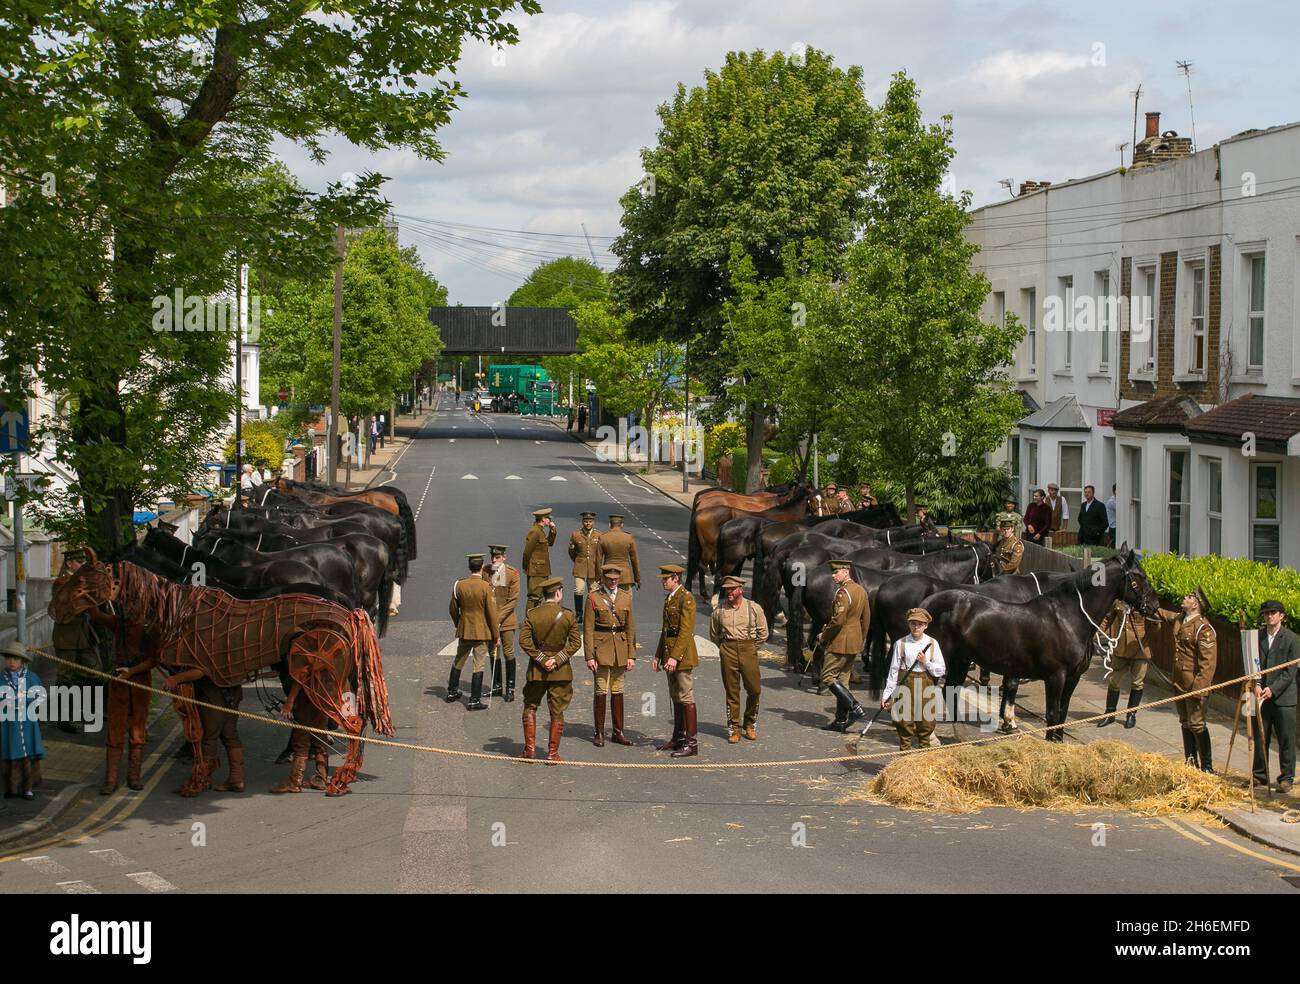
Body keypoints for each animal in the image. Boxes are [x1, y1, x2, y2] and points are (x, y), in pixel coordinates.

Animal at [925, 545, 1159, 738]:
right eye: (1140, 576)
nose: (1155, 605)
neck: (1068, 617)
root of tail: (926, 605)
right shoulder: (1055, 676)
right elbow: (1052, 714)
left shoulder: (1072, 677)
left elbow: (1062, 714)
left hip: (961, 661)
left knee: (950, 692)